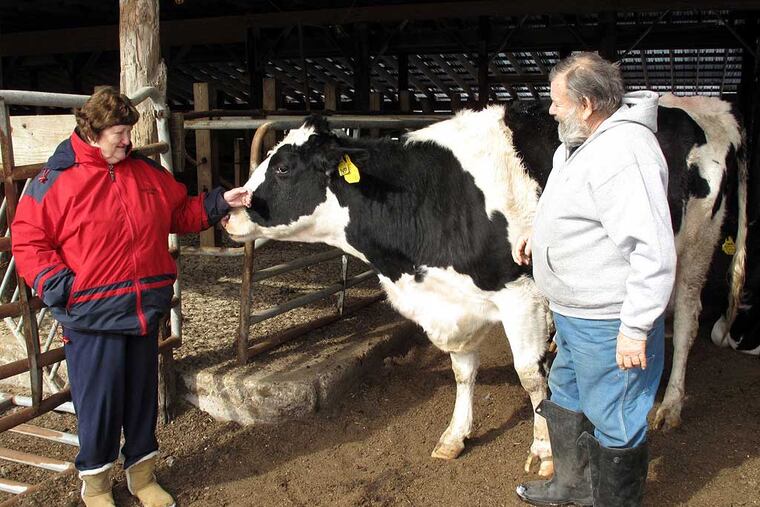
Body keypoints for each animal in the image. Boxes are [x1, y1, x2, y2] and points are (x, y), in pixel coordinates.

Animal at [223, 96, 746, 476]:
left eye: (283, 167)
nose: (229, 210)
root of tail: (709, 105)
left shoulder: (522, 297)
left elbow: (531, 378)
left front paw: (544, 451)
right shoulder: (454, 303)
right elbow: (462, 371)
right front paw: (455, 435)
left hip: (693, 250)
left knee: (687, 322)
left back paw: (670, 405)